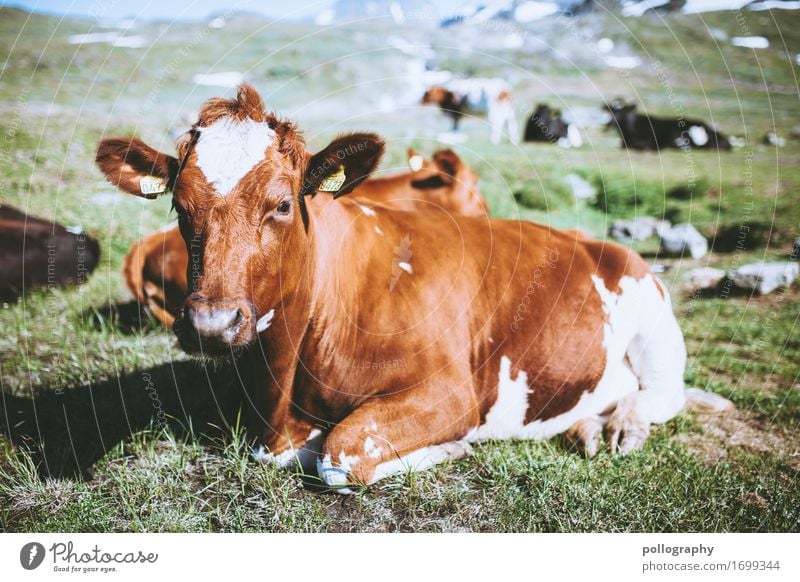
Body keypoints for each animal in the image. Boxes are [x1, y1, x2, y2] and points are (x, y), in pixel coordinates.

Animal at [97, 84, 728, 496]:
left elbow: (339, 452)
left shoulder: (451, 393)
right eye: (180, 208)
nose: (211, 323)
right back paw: (588, 426)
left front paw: (451, 446)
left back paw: (622, 425)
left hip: (654, 324)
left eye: (281, 204)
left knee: (662, 393)